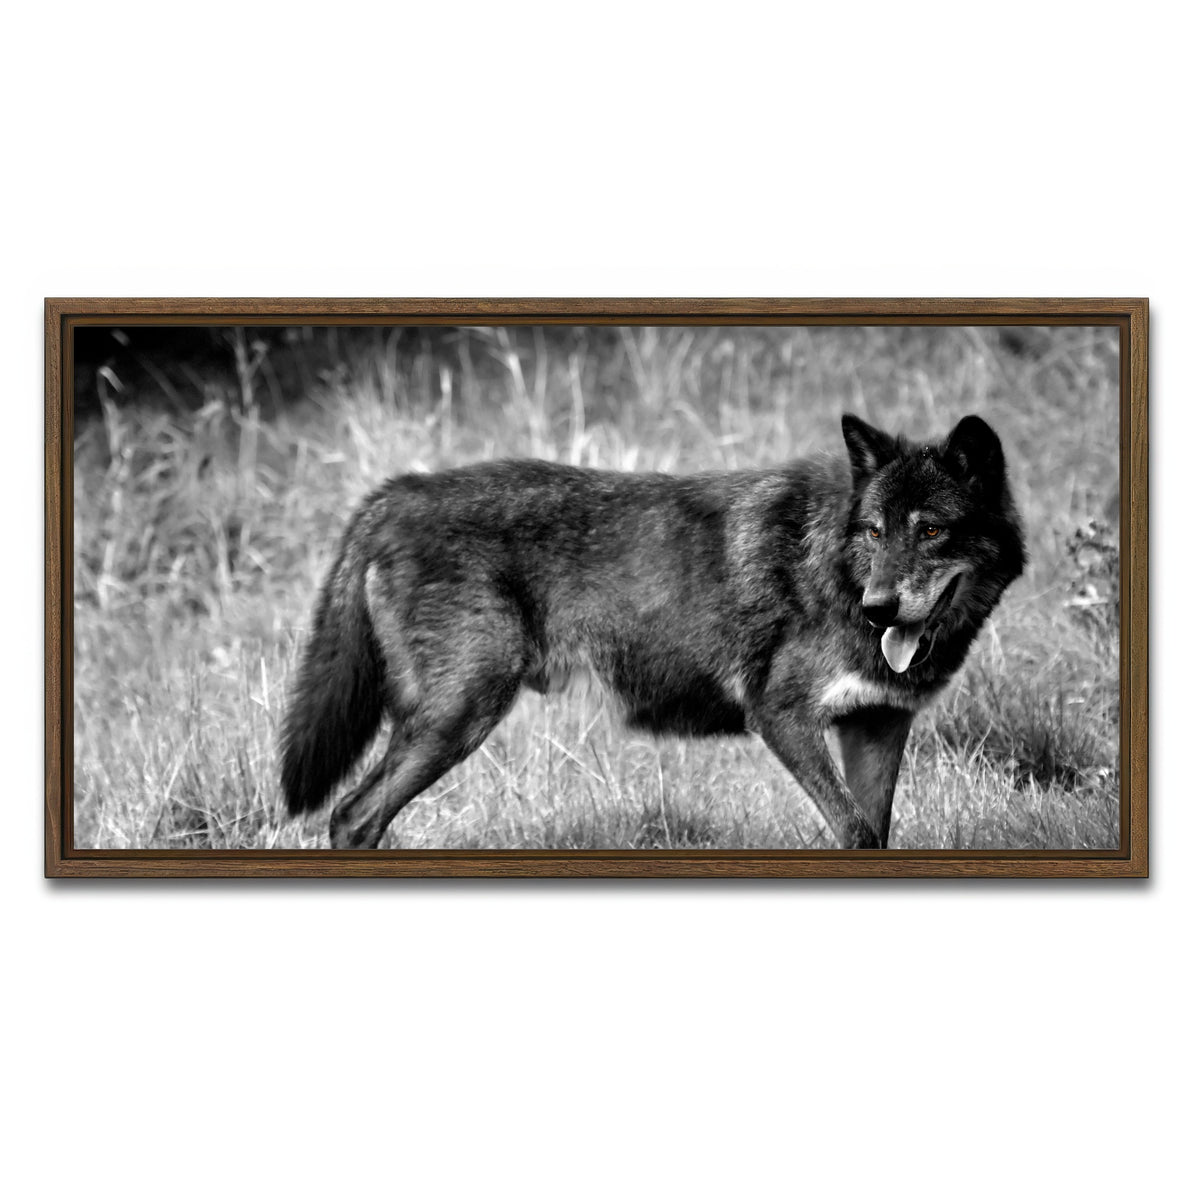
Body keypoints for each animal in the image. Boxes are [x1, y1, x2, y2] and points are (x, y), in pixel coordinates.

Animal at [280, 414, 1025, 850]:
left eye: (930, 531)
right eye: (874, 532)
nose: (879, 609)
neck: (835, 570)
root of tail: (396, 491)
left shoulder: (876, 725)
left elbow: (871, 832)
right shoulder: (780, 716)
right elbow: (849, 827)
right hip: (459, 717)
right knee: (351, 816)